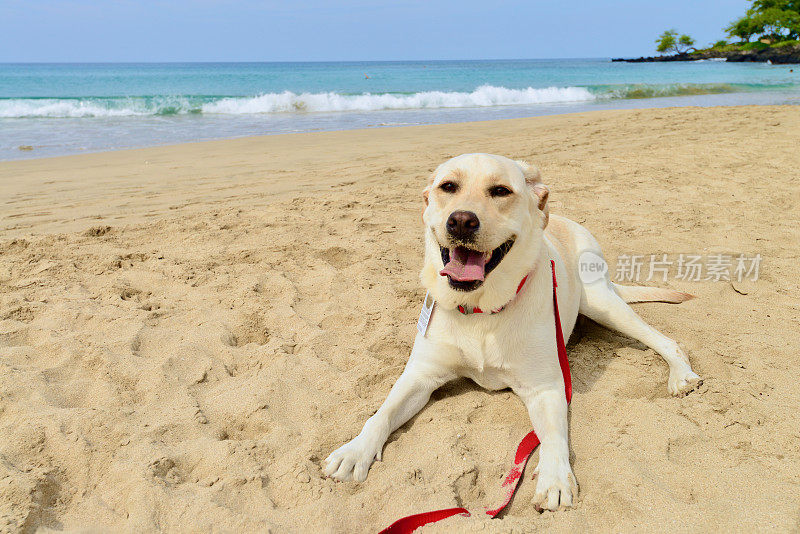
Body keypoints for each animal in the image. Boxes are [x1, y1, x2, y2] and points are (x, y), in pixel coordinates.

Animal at [324, 154, 700, 510]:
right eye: (448, 187)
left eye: (501, 191)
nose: (461, 220)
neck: (479, 310)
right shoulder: (421, 375)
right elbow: (382, 414)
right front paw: (354, 451)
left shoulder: (546, 388)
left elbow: (553, 437)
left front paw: (555, 478)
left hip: (600, 302)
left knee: (666, 341)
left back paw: (681, 375)